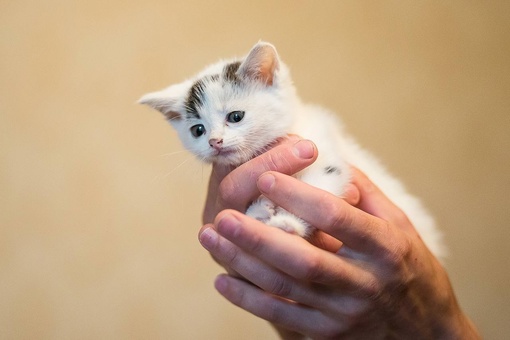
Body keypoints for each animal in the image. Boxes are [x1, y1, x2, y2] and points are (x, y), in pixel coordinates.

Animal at [138, 40, 442, 258]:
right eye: (197, 131)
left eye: (235, 117)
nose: (215, 142)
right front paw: (260, 210)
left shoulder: (327, 156)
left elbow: (317, 190)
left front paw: (288, 224)